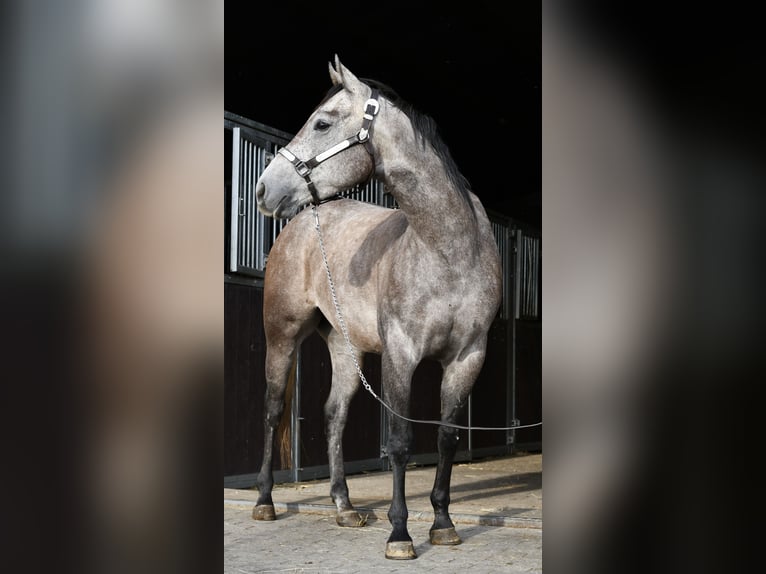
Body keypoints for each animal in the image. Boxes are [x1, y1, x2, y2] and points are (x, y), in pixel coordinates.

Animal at [253, 56, 502, 560]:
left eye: (323, 122)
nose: (264, 188)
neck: (449, 247)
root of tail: (301, 222)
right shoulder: (401, 354)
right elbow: (401, 443)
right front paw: (400, 534)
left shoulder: (468, 356)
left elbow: (446, 438)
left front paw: (443, 524)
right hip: (282, 335)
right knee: (272, 408)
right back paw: (266, 500)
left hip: (345, 349)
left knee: (334, 414)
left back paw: (344, 507)